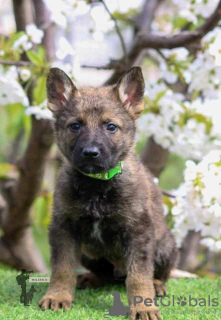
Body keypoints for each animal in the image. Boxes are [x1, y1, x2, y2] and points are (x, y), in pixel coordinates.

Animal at [38, 66, 177, 318]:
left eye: (110, 126)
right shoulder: (63, 228)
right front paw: (58, 296)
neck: (97, 186)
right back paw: (90, 278)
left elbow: (139, 275)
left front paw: (143, 306)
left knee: (152, 274)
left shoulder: (138, 232)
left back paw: (157, 285)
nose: (90, 153)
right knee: (106, 275)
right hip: (88, 252)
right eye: (75, 125)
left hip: (165, 245)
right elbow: (62, 268)